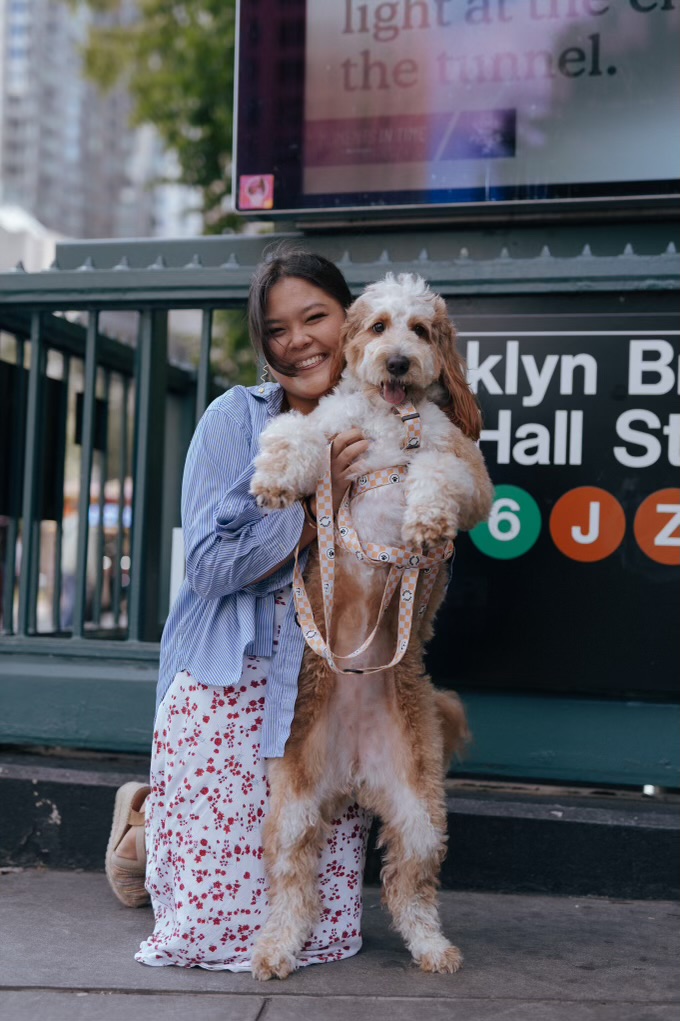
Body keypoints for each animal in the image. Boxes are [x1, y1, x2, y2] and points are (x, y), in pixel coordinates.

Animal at [246, 273, 490, 980]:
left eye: (422, 330)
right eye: (379, 326)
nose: (400, 363)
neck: (388, 421)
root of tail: (354, 773)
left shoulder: (465, 471)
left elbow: (434, 473)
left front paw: (425, 524)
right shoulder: (331, 430)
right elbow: (297, 436)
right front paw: (275, 481)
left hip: (419, 809)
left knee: (411, 888)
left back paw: (433, 950)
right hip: (293, 807)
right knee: (293, 887)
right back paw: (275, 949)